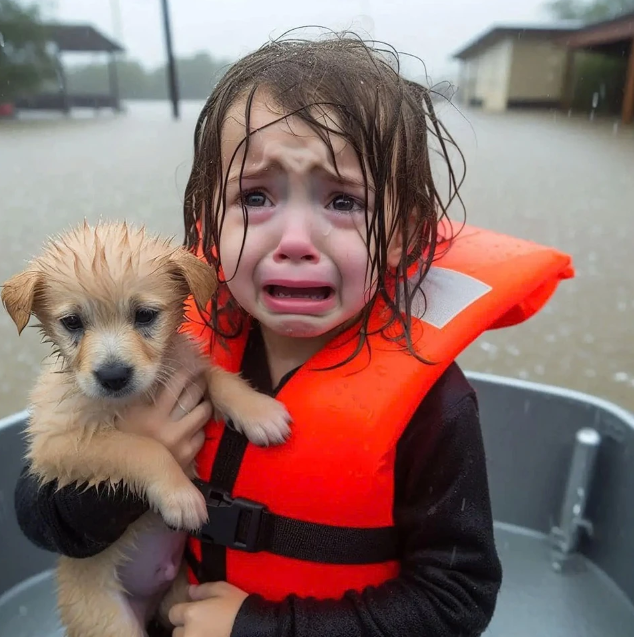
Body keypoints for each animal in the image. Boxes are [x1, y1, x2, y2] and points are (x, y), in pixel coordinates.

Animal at [1, 220, 288, 636]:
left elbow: (217, 376)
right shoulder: (56, 445)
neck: (133, 398)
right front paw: (180, 496)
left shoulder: (185, 367)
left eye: (145, 315)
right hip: (110, 622)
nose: (113, 376)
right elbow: (139, 447)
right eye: (72, 322)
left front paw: (259, 411)